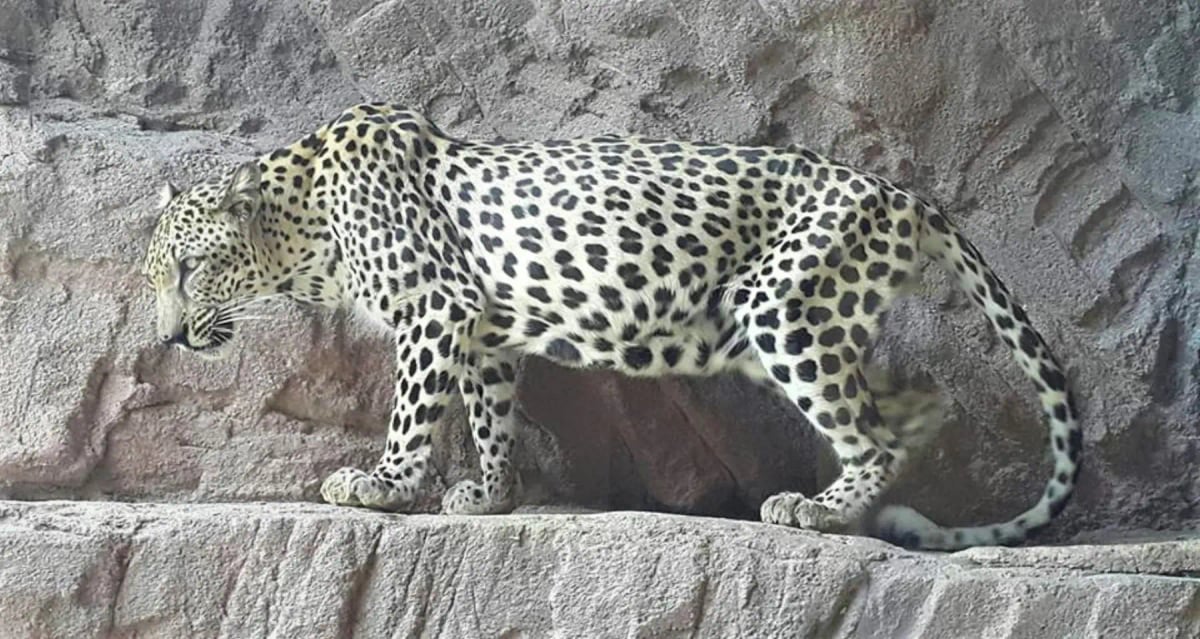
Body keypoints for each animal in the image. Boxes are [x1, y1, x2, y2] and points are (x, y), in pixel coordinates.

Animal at [141, 102, 1081, 550]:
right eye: (156, 280)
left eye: (188, 271)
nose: (170, 338)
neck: (303, 230)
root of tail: (900, 191)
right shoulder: (484, 330)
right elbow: (490, 416)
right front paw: (492, 493)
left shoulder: (435, 307)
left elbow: (413, 412)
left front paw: (382, 485)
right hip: (811, 320)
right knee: (912, 405)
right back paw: (875, 503)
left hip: (783, 311)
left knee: (875, 432)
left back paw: (817, 509)